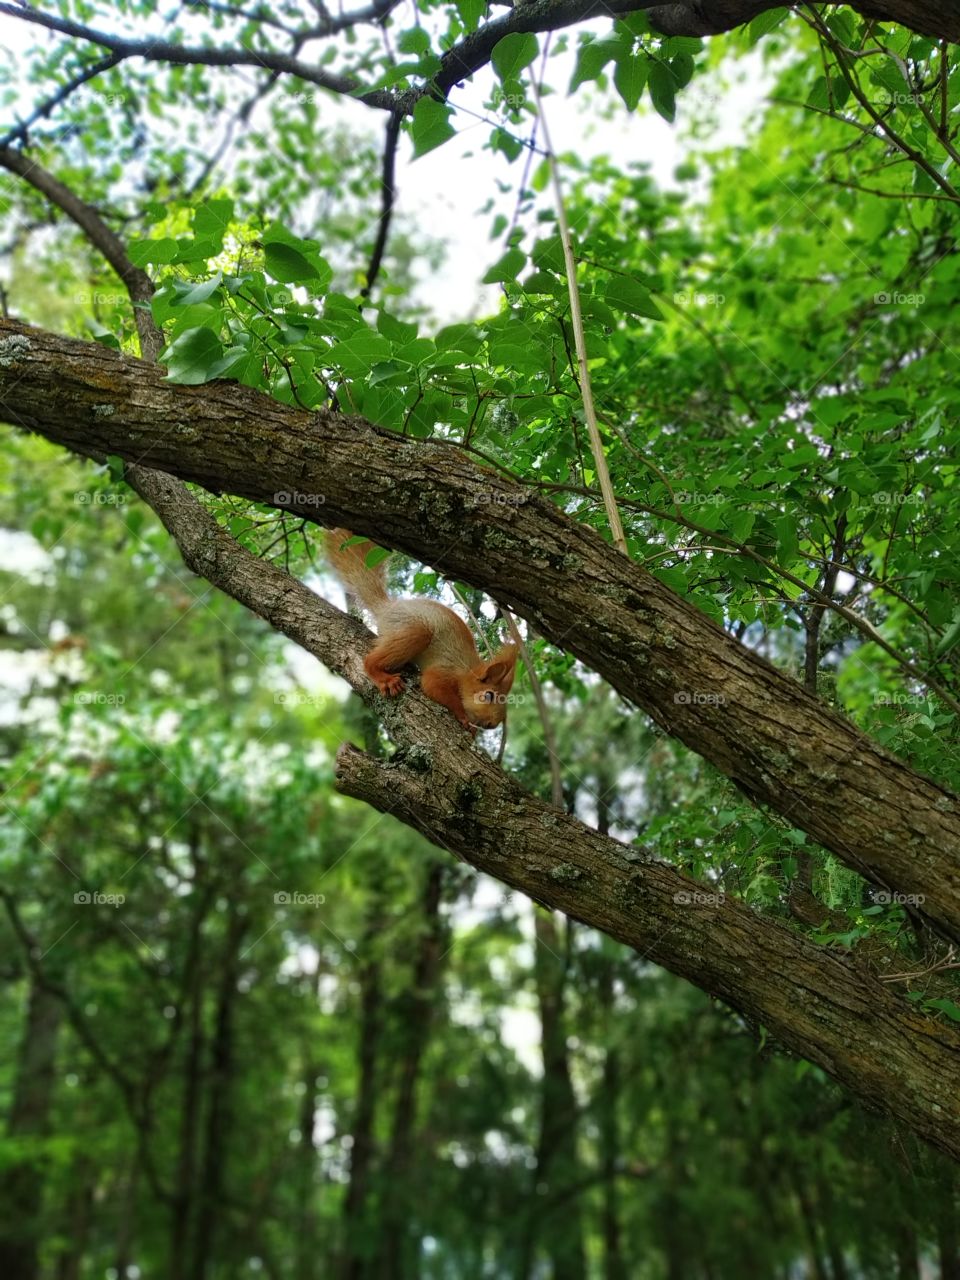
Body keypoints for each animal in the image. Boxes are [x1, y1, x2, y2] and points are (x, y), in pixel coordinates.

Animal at [326, 529, 518, 731]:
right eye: (488, 695)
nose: (492, 724)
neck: (467, 670)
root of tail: (387, 608)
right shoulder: (444, 671)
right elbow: (434, 686)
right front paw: (464, 716)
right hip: (415, 630)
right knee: (370, 660)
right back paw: (383, 678)